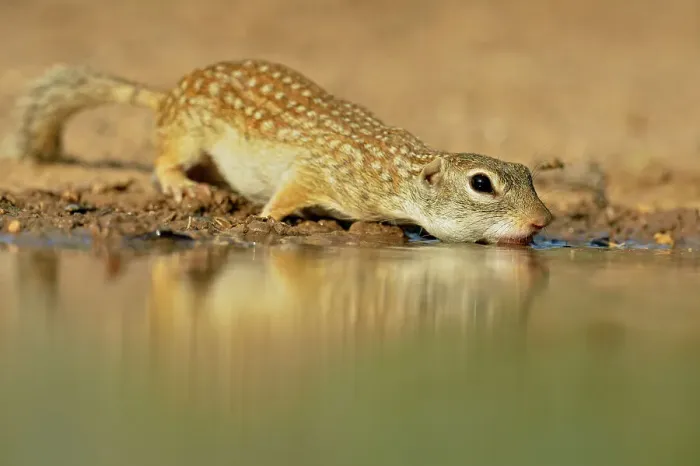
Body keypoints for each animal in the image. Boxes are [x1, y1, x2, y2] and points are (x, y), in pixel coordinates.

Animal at [0, 59, 552, 244]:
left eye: (527, 173)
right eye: (481, 183)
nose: (543, 221)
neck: (393, 170)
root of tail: (170, 94)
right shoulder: (316, 170)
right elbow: (290, 191)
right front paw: (267, 217)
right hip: (188, 132)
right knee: (164, 158)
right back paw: (181, 184)